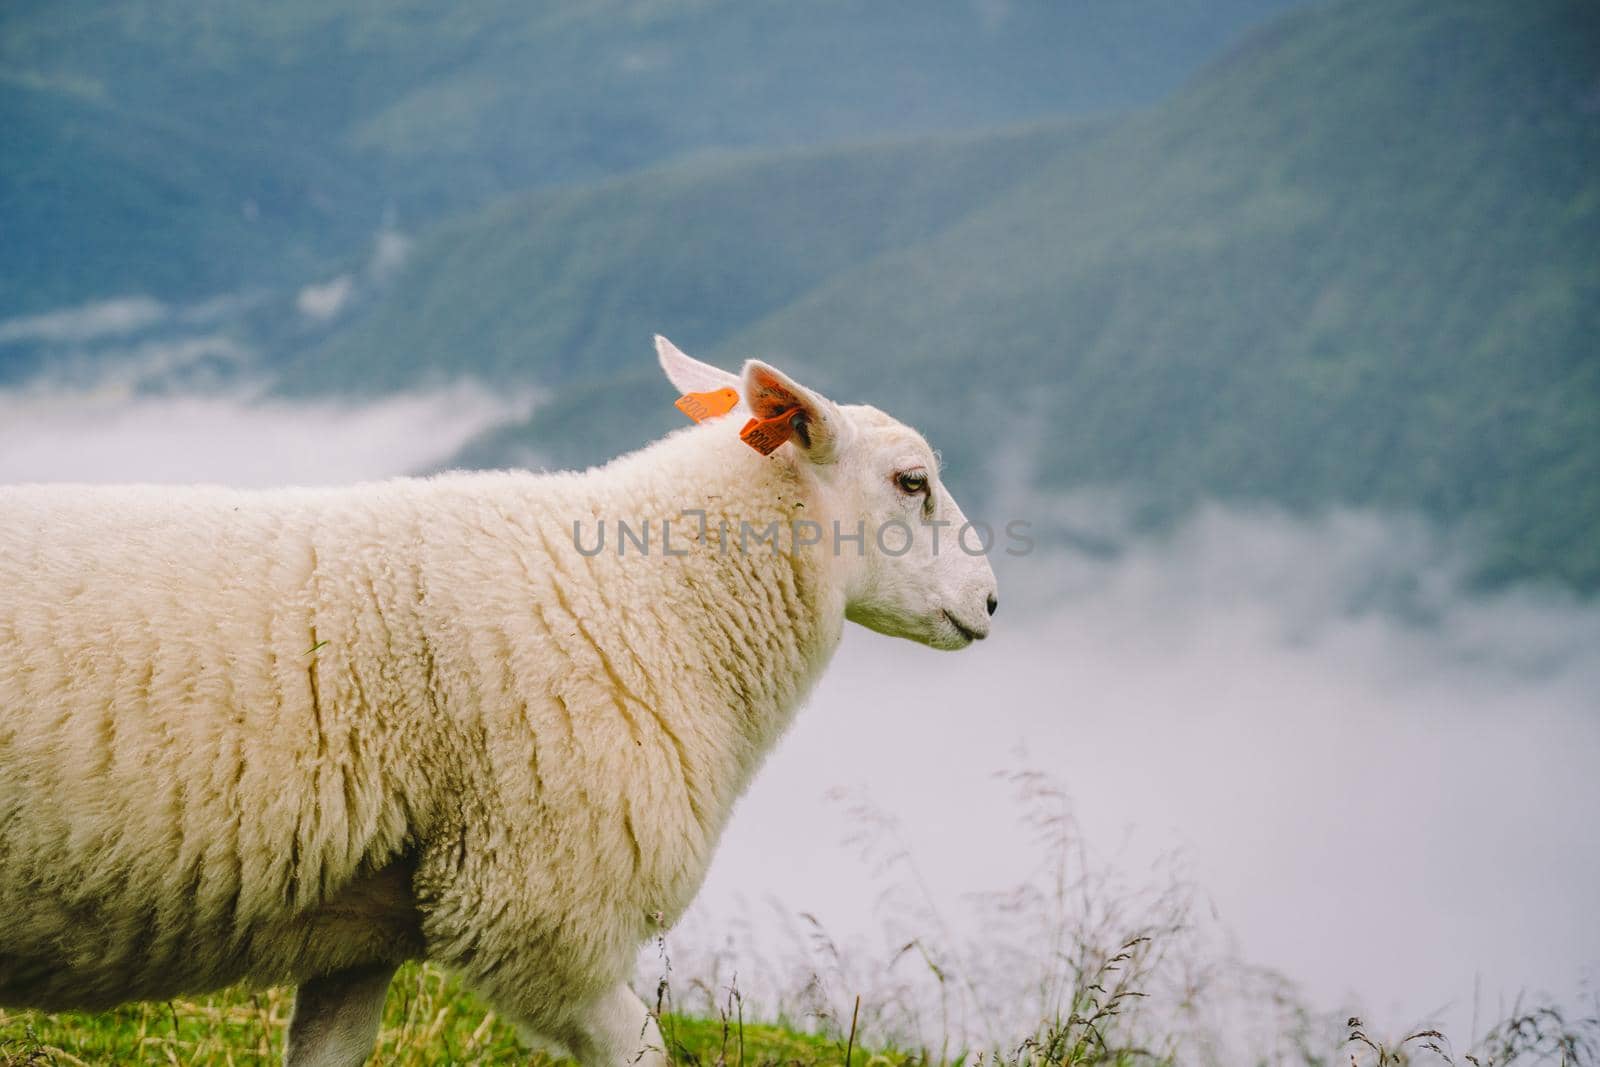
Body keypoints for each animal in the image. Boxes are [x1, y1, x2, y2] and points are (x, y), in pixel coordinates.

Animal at [0, 340, 998, 1067]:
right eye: (912, 481)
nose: (991, 601)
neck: (643, 597)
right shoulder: (542, 907)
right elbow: (642, 1048)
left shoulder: (360, 931)